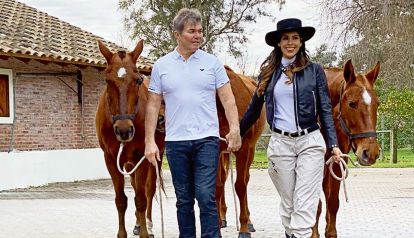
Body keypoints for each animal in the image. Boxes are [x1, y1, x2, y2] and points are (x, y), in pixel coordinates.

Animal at [94, 40, 164, 238]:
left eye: (138, 80)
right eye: (107, 80)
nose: (124, 130)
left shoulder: (143, 157)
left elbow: (141, 198)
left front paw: (146, 233)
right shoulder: (110, 159)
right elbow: (121, 200)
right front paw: (123, 233)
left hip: (156, 157)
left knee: (149, 190)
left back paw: (148, 224)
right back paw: (139, 224)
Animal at [215, 66, 266, 238]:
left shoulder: (243, 149)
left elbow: (240, 186)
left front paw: (244, 228)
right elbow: (217, 186)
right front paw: (216, 226)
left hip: (251, 149)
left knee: (245, 179)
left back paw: (249, 223)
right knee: (224, 179)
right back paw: (222, 218)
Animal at [312, 59, 380, 238]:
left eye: (377, 104)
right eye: (352, 104)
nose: (370, 152)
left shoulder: (337, 161)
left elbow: (333, 202)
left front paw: (330, 232)